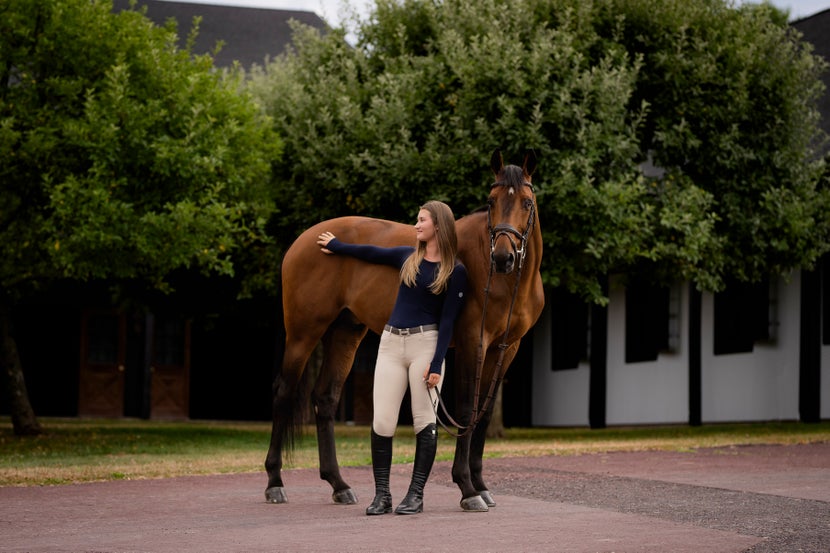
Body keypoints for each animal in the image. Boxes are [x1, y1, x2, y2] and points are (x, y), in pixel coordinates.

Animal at [264, 149, 544, 512]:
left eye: (526, 202)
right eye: (491, 200)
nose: (503, 258)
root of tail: (304, 241)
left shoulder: (507, 347)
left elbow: (482, 415)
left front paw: (481, 486)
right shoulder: (473, 342)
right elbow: (466, 410)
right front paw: (468, 488)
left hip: (345, 332)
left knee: (325, 397)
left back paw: (339, 485)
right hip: (303, 333)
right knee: (283, 392)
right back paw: (275, 483)